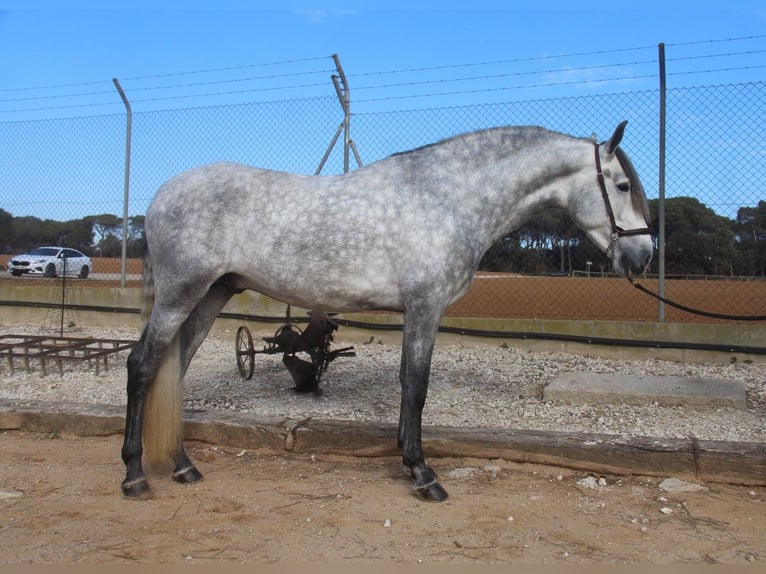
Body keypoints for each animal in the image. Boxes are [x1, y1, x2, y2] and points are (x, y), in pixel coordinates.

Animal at [123, 122, 652, 504]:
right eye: (624, 185)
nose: (643, 256)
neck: (450, 197)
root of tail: (162, 195)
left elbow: (408, 385)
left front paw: (408, 460)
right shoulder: (424, 307)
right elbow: (415, 386)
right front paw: (423, 474)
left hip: (211, 296)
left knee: (173, 371)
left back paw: (183, 466)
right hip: (181, 294)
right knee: (143, 366)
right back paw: (134, 476)